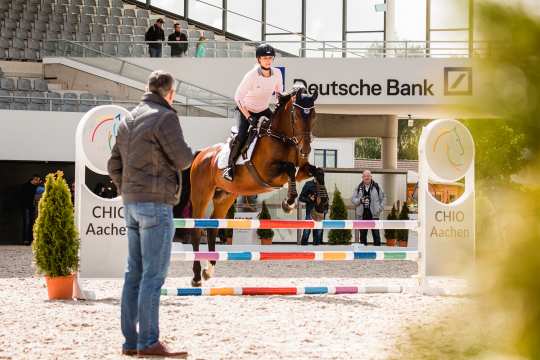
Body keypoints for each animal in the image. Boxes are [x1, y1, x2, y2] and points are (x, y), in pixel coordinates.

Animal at [180, 85, 330, 286]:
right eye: (297, 115)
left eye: (313, 115)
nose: (305, 149)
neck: (282, 137)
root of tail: (201, 154)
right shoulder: (268, 173)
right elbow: (289, 167)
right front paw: (289, 202)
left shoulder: (302, 171)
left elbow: (318, 171)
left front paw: (321, 206)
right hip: (201, 196)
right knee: (197, 229)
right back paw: (197, 277)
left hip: (226, 197)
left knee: (213, 226)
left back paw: (209, 270)